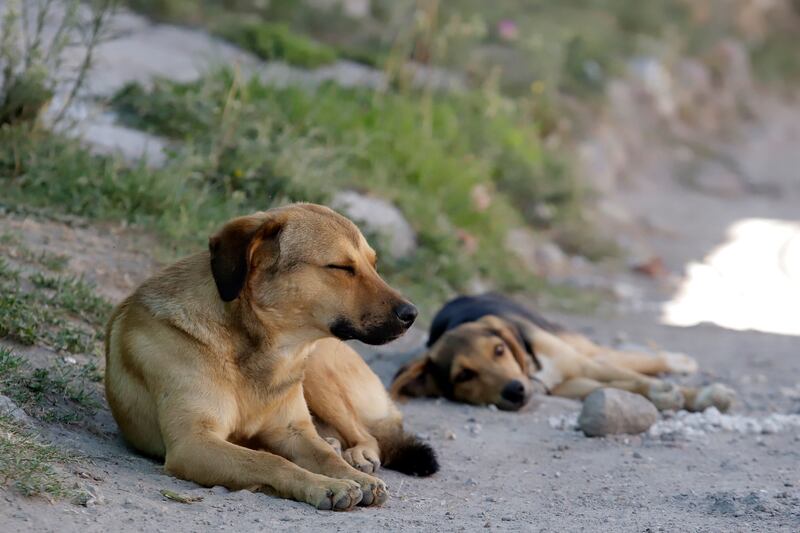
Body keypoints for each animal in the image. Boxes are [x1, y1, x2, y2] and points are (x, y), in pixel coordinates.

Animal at [106, 204, 438, 512]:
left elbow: (325, 457)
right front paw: (326, 485)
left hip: (318, 375)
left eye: (373, 264)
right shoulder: (193, 443)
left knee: (366, 434)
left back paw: (357, 454)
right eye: (341, 267)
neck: (261, 351)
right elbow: (270, 461)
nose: (411, 314)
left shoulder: (292, 431)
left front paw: (353, 476)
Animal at [390, 290, 736, 412]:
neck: (534, 371)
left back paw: (680, 362)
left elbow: (639, 378)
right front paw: (668, 396)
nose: (515, 390)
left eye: (499, 350)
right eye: (464, 375)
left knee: (634, 359)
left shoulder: (584, 367)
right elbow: (627, 385)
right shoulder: (574, 385)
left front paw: (685, 393)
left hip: (579, 347)